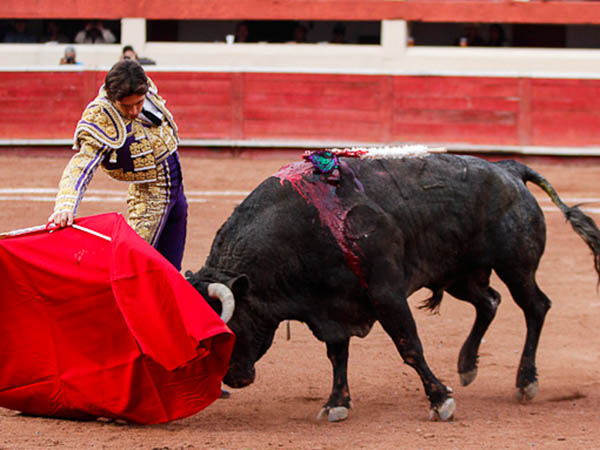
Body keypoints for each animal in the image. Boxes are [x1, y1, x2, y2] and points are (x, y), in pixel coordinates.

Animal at [185, 150, 596, 422]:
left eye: (229, 330)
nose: (232, 380)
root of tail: (508, 169)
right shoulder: (331, 304)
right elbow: (337, 355)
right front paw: (336, 403)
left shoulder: (386, 294)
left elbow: (409, 347)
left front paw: (440, 400)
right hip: (458, 274)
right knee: (489, 302)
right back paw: (467, 365)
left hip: (516, 266)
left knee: (535, 307)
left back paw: (525, 381)